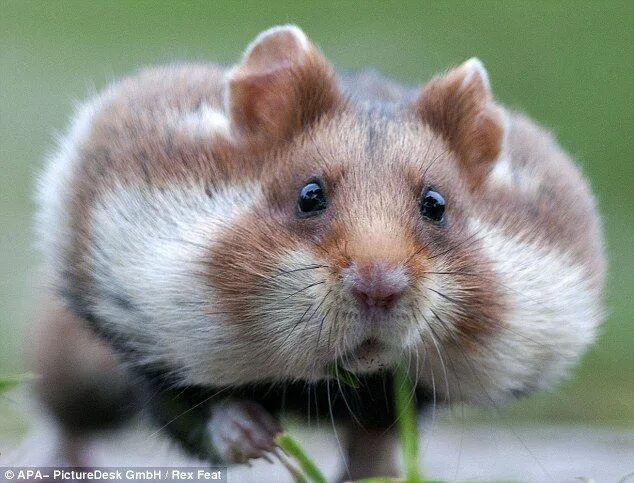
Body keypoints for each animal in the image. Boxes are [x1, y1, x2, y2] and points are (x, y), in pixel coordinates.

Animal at [33, 24, 604, 478]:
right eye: (310, 195)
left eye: (436, 205)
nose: (380, 288)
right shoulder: (143, 332)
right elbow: (198, 411)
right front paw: (263, 441)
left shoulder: (399, 398)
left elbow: (376, 440)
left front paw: (372, 473)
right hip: (73, 364)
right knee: (67, 420)